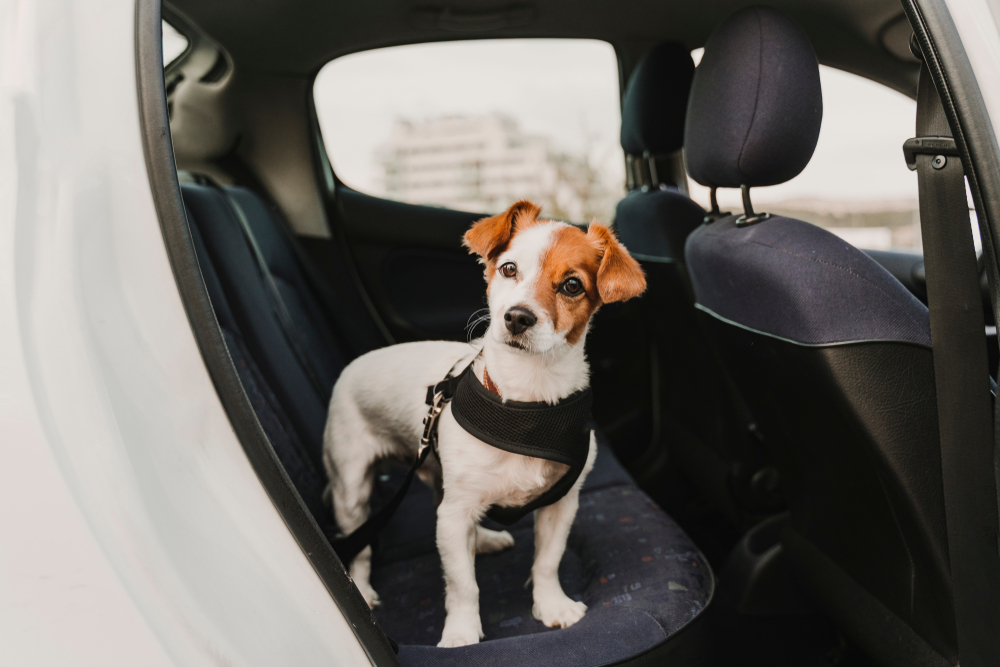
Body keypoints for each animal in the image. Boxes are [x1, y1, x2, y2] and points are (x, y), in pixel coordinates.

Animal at [324, 198, 644, 648]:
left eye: (572, 286)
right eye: (509, 269)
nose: (517, 317)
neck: (526, 402)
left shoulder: (560, 504)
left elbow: (548, 561)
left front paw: (552, 606)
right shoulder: (455, 514)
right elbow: (463, 584)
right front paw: (461, 633)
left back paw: (485, 540)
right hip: (352, 489)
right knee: (363, 546)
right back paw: (364, 589)